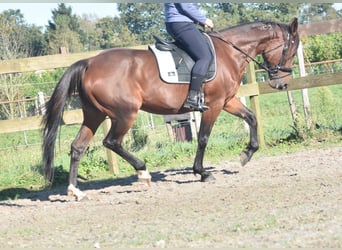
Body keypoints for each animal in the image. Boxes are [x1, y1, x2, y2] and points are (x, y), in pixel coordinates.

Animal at [42, 18, 300, 201]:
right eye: (291, 49)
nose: (282, 84)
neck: (230, 52)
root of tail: (89, 63)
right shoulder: (215, 104)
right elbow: (203, 138)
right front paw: (202, 172)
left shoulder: (228, 101)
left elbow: (252, 118)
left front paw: (247, 154)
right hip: (125, 114)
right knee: (112, 142)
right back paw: (143, 172)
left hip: (94, 115)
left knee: (78, 147)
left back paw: (75, 190)